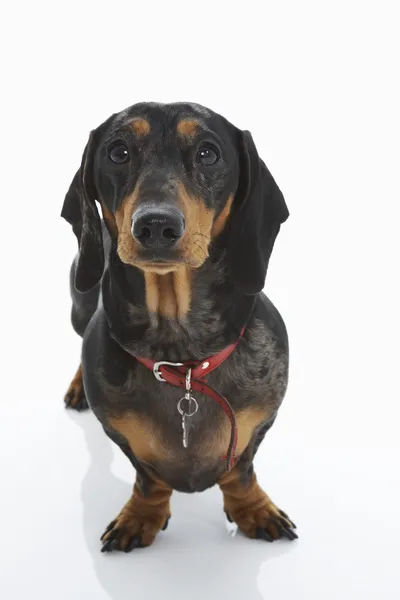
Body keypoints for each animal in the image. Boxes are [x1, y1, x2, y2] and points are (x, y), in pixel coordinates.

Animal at [61, 102, 296, 552]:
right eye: (118, 152)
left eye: (208, 153)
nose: (155, 225)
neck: (184, 360)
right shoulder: (120, 434)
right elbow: (149, 478)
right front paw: (141, 516)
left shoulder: (260, 423)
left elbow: (240, 471)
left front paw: (252, 509)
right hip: (79, 304)